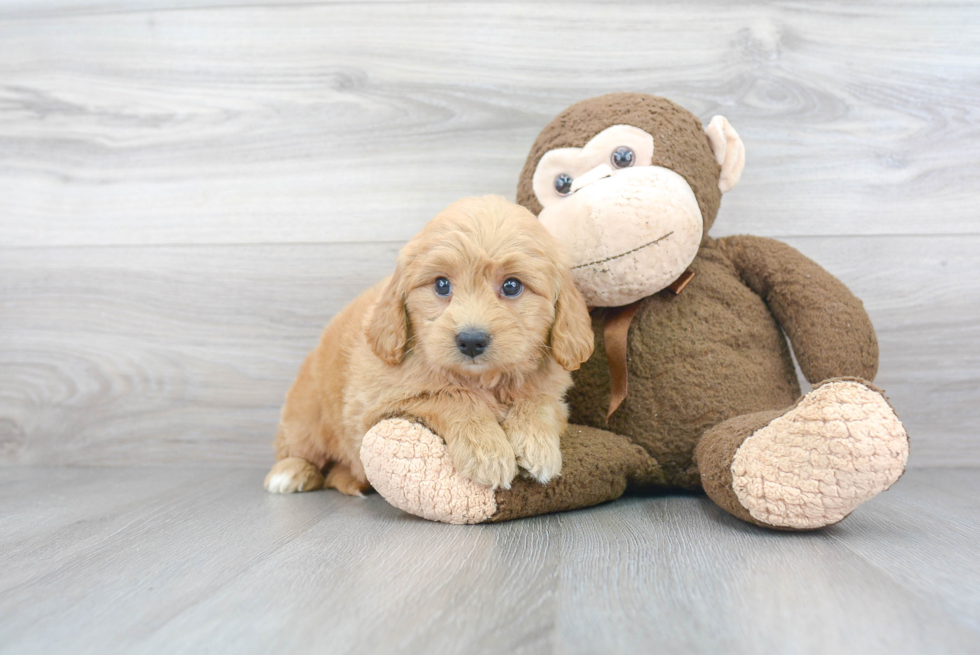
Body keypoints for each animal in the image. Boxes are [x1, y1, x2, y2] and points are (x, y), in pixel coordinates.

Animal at [264, 195, 592, 498]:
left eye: (512, 286)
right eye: (441, 285)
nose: (471, 340)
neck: (483, 380)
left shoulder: (555, 395)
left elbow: (538, 399)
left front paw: (537, 444)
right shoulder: (379, 405)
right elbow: (450, 396)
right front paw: (487, 450)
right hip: (306, 414)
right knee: (299, 448)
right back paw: (290, 473)